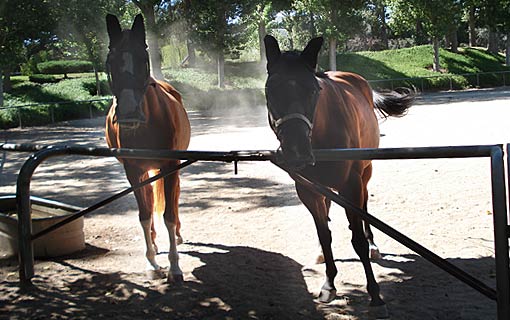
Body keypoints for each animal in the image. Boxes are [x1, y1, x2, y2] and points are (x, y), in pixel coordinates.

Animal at [104, 13, 190, 282]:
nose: (129, 112)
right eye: (111, 61)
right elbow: (144, 214)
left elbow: (169, 215)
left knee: (173, 199)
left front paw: (175, 267)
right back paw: (153, 241)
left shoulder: (170, 167)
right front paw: (152, 262)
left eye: (143, 59)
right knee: (151, 202)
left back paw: (178, 236)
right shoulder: (133, 171)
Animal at [264, 35, 412, 312]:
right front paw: (329, 284)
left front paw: (374, 292)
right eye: (270, 92)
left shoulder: (350, 185)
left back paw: (373, 243)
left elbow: (358, 240)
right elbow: (325, 234)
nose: (296, 150)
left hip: (364, 174)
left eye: (313, 90)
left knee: (364, 208)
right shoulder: (307, 189)